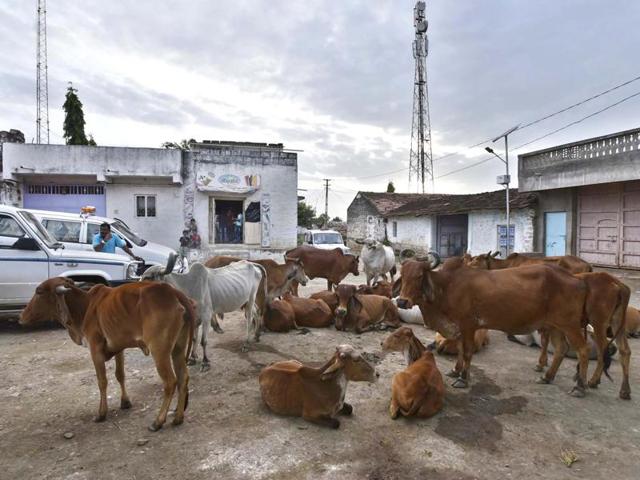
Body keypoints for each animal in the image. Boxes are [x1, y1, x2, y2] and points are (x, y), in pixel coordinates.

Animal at [20, 278, 195, 432]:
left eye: (39, 291)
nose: (21, 316)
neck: (85, 306)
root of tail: (172, 291)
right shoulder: (119, 347)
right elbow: (120, 375)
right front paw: (125, 402)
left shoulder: (95, 348)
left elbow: (102, 381)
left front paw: (101, 413)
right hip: (178, 348)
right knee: (183, 378)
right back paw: (178, 418)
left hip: (159, 350)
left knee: (170, 382)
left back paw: (158, 421)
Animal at [398, 256, 592, 396]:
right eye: (402, 275)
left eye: (419, 276)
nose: (402, 301)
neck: (447, 286)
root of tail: (577, 280)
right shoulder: (458, 328)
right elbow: (460, 350)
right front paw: (455, 370)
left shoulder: (468, 326)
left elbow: (466, 352)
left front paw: (463, 378)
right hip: (555, 325)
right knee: (561, 349)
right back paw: (547, 376)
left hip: (570, 325)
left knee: (583, 350)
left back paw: (580, 387)